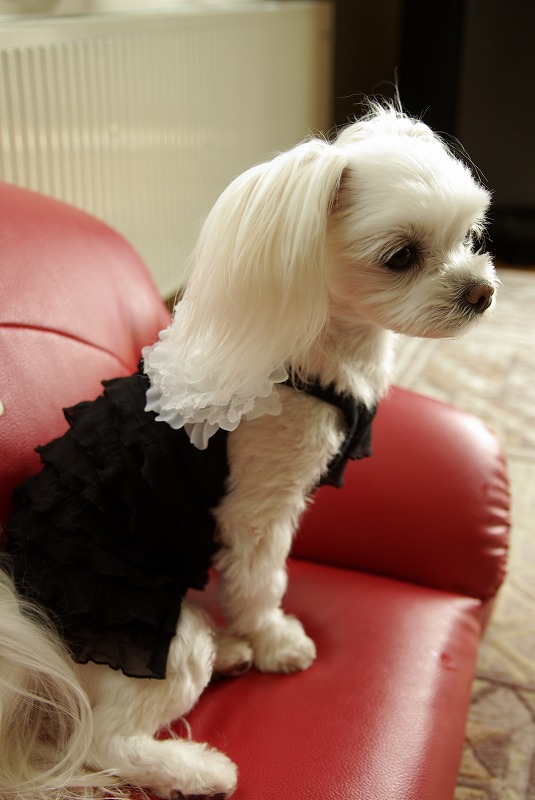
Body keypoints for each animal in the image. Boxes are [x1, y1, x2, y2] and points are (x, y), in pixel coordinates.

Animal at [0, 103, 496, 800]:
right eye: (400, 256)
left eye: (471, 233)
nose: (482, 292)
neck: (318, 361)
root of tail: (26, 617)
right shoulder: (258, 511)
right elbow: (263, 582)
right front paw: (275, 642)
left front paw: (258, 642)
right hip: (153, 632)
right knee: (106, 742)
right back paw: (199, 768)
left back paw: (229, 655)